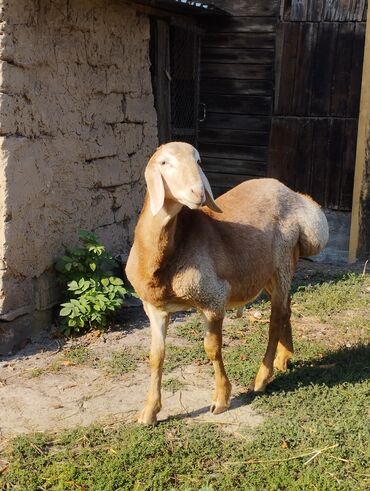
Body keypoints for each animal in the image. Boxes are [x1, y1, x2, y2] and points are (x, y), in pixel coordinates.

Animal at [125, 140, 328, 424]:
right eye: (165, 162)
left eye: (198, 161)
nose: (198, 193)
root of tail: (293, 193)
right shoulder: (153, 308)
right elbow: (156, 357)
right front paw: (149, 412)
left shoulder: (212, 299)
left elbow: (212, 349)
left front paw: (221, 399)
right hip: (267, 272)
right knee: (287, 309)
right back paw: (284, 358)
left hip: (282, 262)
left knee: (276, 319)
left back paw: (262, 378)